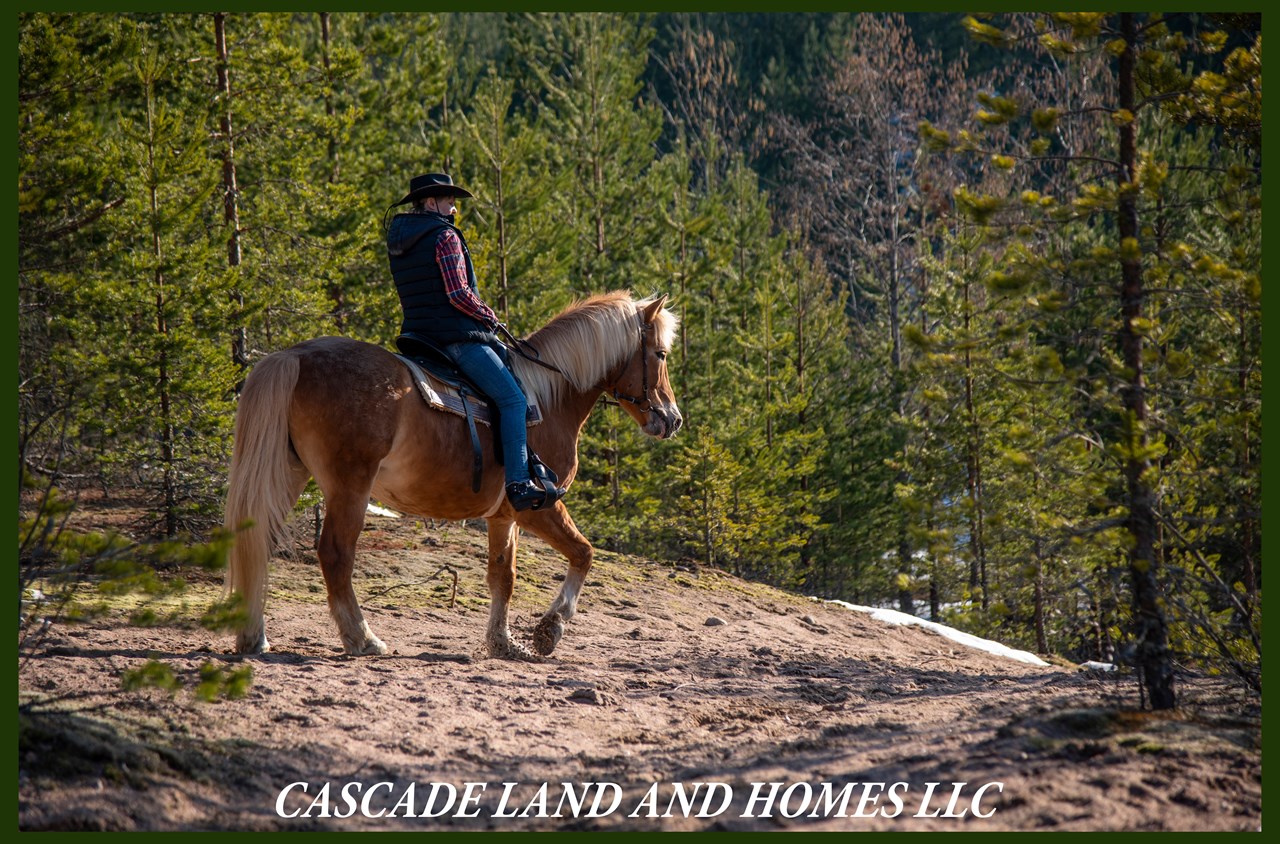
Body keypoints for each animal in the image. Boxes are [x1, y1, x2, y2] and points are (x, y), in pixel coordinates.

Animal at [222, 293, 680, 665]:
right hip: (349, 487)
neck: (547, 401)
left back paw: (253, 636)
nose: (672, 419)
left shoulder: (504, 516)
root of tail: (295, 355)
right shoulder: (539, 505)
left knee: (256, 540)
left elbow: (503, 577)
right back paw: (363, 639)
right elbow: (584, 553)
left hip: (289, 474)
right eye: (659, 354)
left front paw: (503, 643)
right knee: (335, 554)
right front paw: (550, 630)